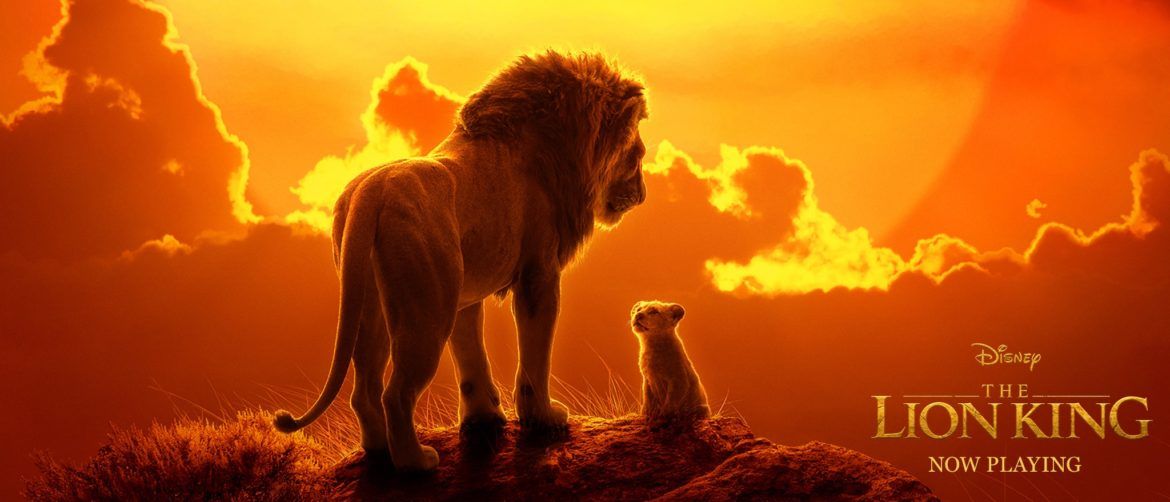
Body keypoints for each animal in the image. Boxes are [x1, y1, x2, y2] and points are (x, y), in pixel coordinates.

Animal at [273, 51, 649, 471]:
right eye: (637, 156)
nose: (643, 194)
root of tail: (371, 192)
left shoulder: (464, 293)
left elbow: (470, 357)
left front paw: (484, 418)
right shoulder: (538, 274)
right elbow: (535, 355)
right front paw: (544, 418)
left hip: (372, 305)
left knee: (365, 389)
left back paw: (379, 451)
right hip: (426, 311)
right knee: (396, 394)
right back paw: (415, 463)